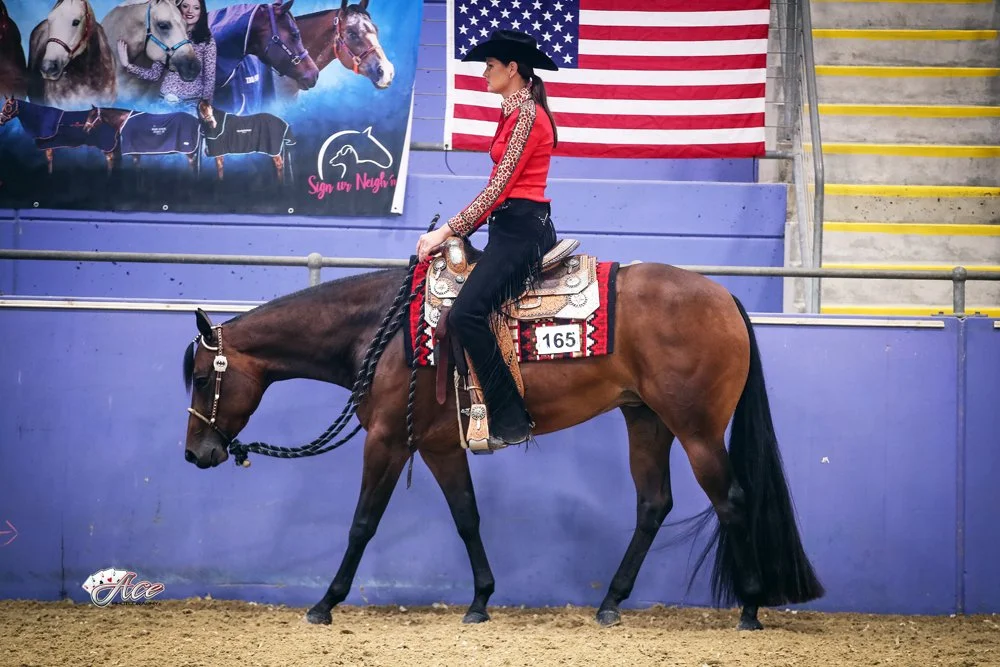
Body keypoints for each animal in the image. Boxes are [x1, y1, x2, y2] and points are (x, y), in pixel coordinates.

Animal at [182, 250, 825, 631]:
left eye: (201, 376)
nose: (195, 453)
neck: (379, 334)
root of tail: (724, 298)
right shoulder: (438, 446)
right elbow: (467, 517)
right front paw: (480, 600)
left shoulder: (387, 440)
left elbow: (362, 523)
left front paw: (324, 603)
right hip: (646, 418)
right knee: (653, 504)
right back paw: (610, 603)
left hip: (696, 429)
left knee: (731, 501)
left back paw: (749, 607)